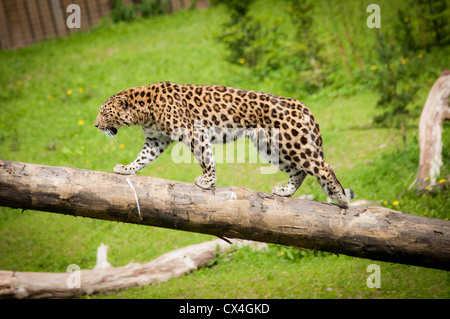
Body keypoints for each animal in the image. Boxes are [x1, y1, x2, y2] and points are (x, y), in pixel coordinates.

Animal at [95, 81, 356, 209]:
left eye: (104, 113)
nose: (96, 125)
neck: (143, 111)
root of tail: (300, 104)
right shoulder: (156, 139)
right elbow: (142, 157)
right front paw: (126, 169)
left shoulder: (193, 132)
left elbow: (205, 158)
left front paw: (207, 181)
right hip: (269, 146)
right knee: (300, 172)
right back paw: (285, 191)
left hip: (292, 143)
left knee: (323, 167)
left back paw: (342, 199)